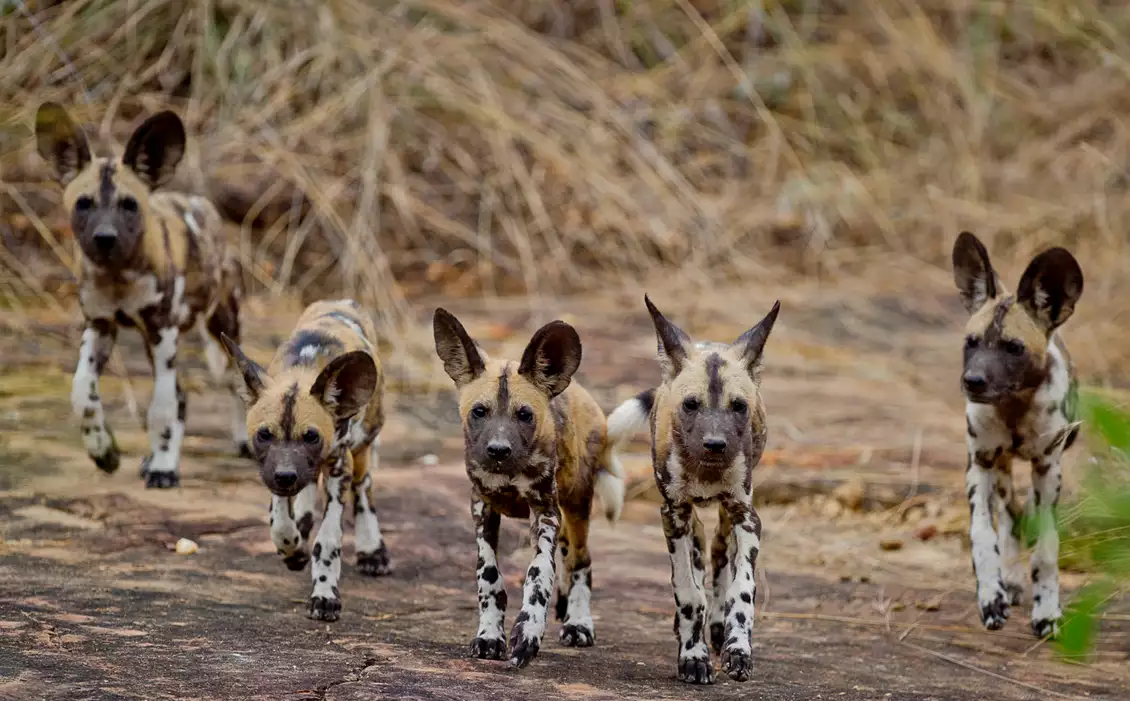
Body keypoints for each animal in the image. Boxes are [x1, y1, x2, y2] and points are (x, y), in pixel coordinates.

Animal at [35, 102, 247, 488]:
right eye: (84, 204)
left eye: (129, 205)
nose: (105, 238)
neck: (118, 275)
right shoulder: (100, 327)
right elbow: (82, 392)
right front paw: (103, 451)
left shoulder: (160, 330)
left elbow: (160, 409)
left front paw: (163, 469)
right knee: (181, 395)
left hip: (220, 332)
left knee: (228, 384)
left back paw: (240, 443)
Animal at [218, 298, 390, 619]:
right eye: (264, 435)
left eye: (311, 436)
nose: (286, 476)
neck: (304, 369)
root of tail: (341, 302)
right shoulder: (272, 472)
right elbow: (280, 525)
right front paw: (293, 549)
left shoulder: (339, 466)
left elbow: (328, 541)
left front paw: (325, 594)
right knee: (308, 490)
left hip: (361, 450)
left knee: (363, 488)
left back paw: (372, 550)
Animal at [431, 309, 632, 669]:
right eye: (479, 412)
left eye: (524, 415)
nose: (498, 450)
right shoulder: (482, 507)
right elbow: (489, 575)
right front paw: (489, 635)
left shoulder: (544, 513)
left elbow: (539, 573)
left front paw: (528, 633)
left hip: (576, 506)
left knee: (580, 561)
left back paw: (578, 623)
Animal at [605, 293, 781, 682]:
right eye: (690, 405)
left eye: (739, 406)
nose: (715, 444)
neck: (706, 471)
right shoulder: (674, 515)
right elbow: (687, 591)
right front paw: (693, 655)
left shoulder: (746, 516)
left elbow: (741, 590)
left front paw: (737, 649)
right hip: (689, 520)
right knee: (699, 560)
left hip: (728, 515)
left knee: (718, 556)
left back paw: (717, 626)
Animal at [953, 232, 1084, 637]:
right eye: (971, 342)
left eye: (1013, 348)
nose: (973, 381)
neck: (1014, 407)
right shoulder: (979, 464)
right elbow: (983, 535)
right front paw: (991, 596)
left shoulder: (1047, 469)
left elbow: (1046, 549)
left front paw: (1047, 611)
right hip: (999, 470)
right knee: (1009, 515)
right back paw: (1008, 580)